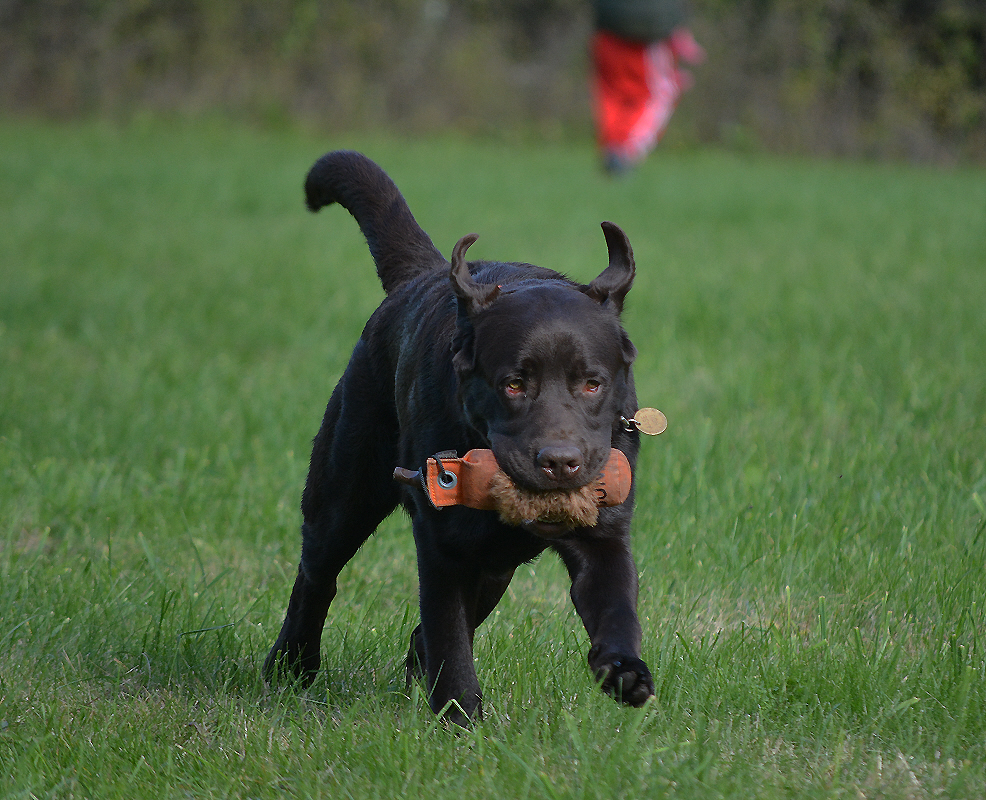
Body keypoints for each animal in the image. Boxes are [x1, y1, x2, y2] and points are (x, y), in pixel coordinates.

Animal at [264, 152, 652, 724]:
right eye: (513, 384)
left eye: (592, 383)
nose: (560, 462)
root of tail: (421, 277)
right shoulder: (443, 545)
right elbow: (449, 632)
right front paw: (460, 714)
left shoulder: (602, 532)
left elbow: (616, 603)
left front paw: (625, 671)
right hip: (344, 490)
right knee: (318, 574)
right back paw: (291, 663)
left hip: (495, 566)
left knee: (424, 628)